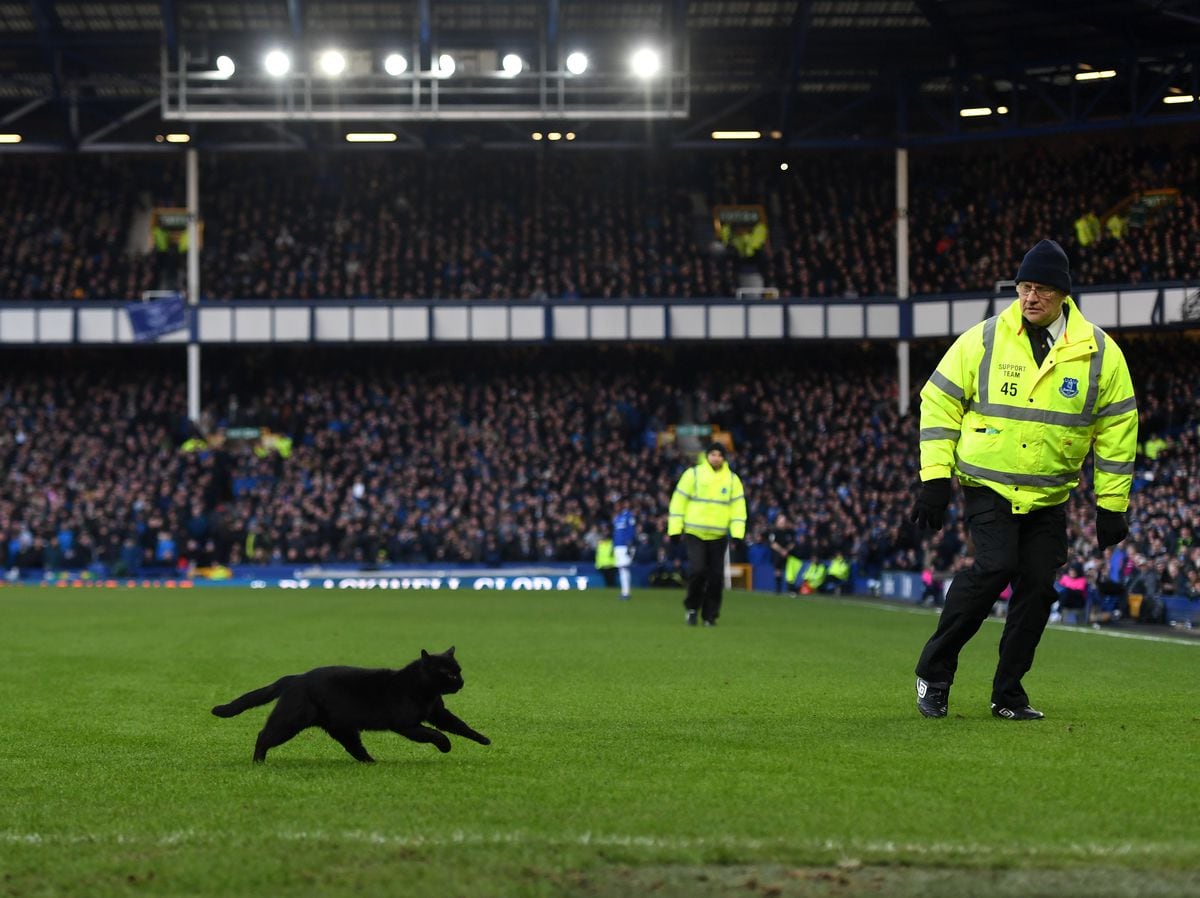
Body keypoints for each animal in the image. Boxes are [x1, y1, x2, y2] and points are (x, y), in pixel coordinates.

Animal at [211, 643, 487, 763]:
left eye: (459, 671)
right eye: (449, 674)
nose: (461, 682)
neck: (426, 691)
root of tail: (296, 677)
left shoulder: (439, 714)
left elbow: (460, 726)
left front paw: (484, 739)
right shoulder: (407, 725)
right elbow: (434, 734)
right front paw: (446, 747)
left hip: (343, 728)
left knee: (355, 748)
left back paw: (372, 762)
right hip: (290, 721)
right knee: (263, 736)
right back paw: (258, 762)